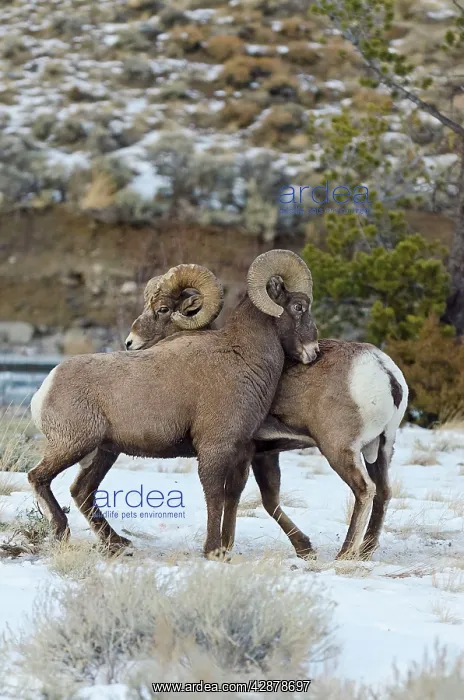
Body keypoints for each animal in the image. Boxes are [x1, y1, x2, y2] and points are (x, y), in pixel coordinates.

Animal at [29, 250, 318, 557]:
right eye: (299, 306)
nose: (313, 352)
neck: (242, 356)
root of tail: (46, 388)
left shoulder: (242, 450)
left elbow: (232, 495)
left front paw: (225, 548)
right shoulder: (214, 449)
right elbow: (214, 495)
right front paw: (213, 550)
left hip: (104, 452)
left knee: (82, 491)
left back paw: (118, 543)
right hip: (72, 445)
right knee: (39, 477)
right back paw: (62, 531)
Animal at [128, 275, 408, 560]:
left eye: (162, 309)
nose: (130, 343)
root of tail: (383, 371)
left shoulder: (245, 450)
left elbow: (236, 494)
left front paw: (227, 546)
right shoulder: (265, 454)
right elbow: (267, 500)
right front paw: (303, 549)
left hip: (339, 449)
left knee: (365, 490)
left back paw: (345, 553)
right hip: (382, 447)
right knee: (383, 491)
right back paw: (366, 551)